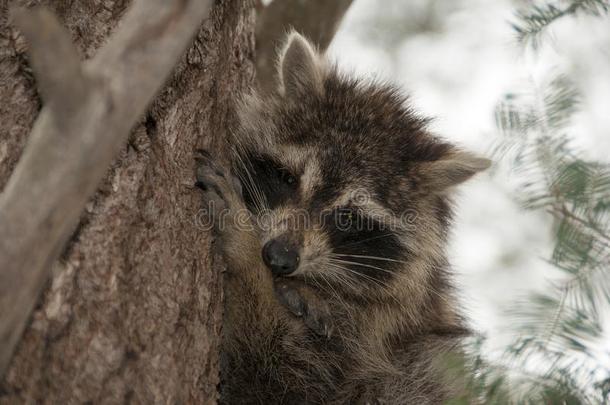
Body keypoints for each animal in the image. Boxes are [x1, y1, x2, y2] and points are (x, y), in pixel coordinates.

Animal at [195, 32, 490, 404]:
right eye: (288, 178)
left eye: (348, 218)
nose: (278, 258)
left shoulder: (372, 342)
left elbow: (274, 372)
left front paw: (245, 255)